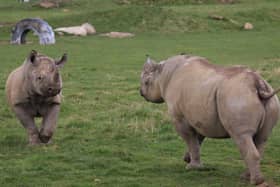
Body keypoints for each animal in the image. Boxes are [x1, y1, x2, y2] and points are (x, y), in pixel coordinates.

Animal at [140, 54, 280, 186]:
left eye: (146, 82)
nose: (141, 92)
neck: (162, 73)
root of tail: (258, 83)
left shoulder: (179, 118)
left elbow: (190, 139)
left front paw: (192, 167)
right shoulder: (200, 118)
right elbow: (197, 141)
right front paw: (188, 159)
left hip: (237, 98)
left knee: (242, 136)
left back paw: (255, 181)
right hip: (268, 101)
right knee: (261, 138)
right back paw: (246, 177)